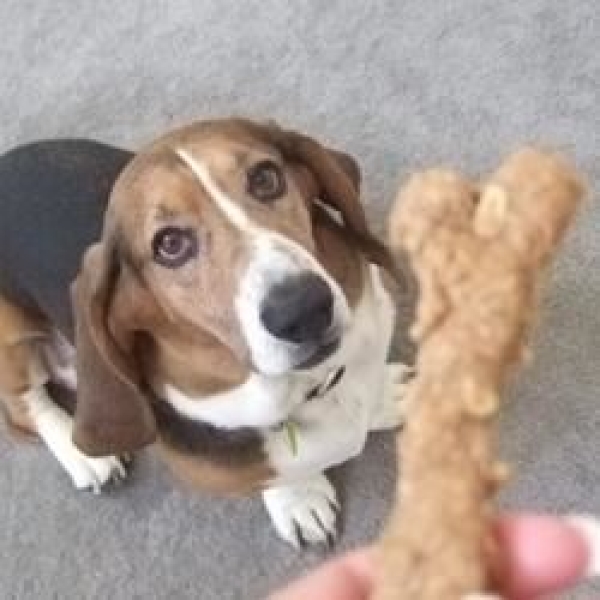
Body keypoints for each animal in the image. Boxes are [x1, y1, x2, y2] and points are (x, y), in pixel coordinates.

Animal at [0, 119, 410, 548]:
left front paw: (385, 394)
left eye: (266, 178)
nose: (303, 310)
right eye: (170, 244)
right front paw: (299, 499)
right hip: (10, 337)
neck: (307, 388)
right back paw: (82, 455)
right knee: (23, 406)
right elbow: (275, 477)